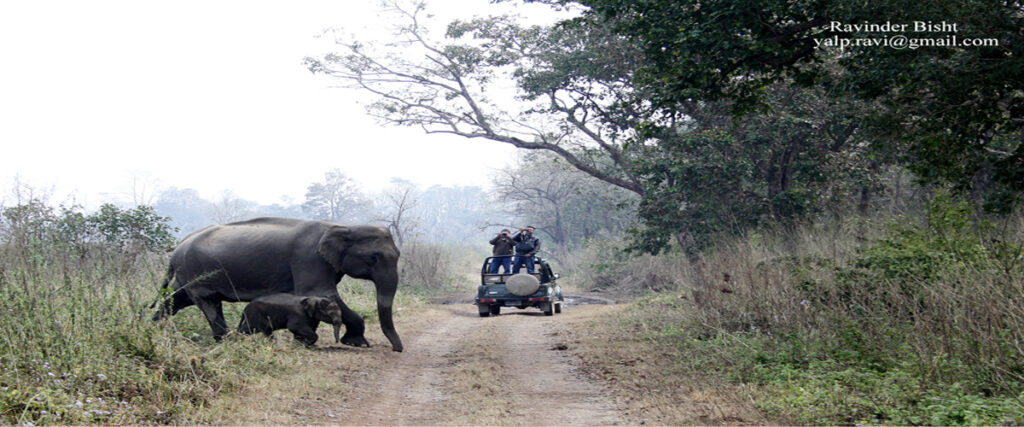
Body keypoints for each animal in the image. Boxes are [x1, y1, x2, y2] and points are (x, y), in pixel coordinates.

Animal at [151, 218, 403, 350]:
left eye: (399, 255)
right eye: (374, 257)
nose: (397, 349)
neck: (342, 225)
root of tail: (178, 247)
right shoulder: (309, 259)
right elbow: (324, 293)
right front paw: (358, 343)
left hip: (186, 274)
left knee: (176, 300)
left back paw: (151, 328)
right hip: (197, 273)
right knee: (208, 303)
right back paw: (229, 342)